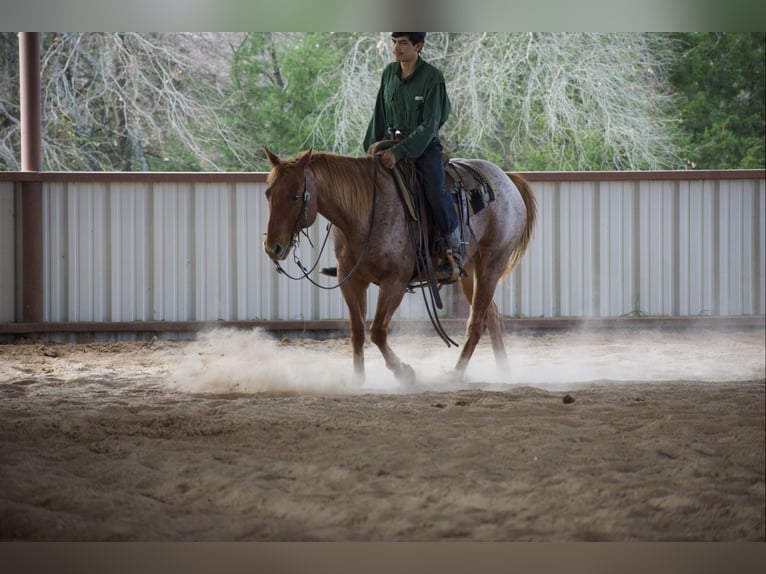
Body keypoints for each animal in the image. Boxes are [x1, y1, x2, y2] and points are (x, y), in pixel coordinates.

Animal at [263, 147, 537, 384]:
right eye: (268, 194)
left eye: (295, 196)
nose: (273, 247)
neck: (365, 214)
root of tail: (507, 179)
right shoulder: (351, 280)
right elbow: (357, 331)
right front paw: (357, 380)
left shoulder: (394, 282)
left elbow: (377, 331)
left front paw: (404, 372)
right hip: (469, 273)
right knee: (491, 314)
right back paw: (503, 371)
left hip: (491, 265)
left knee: (477, 322)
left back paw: (456, 373)